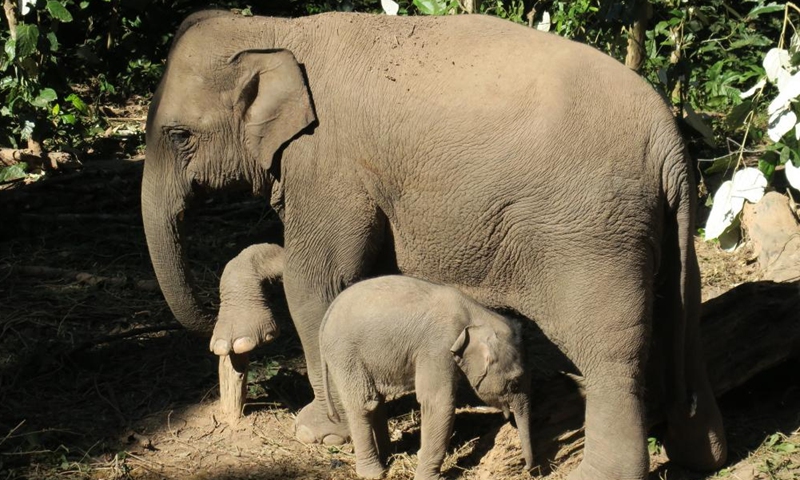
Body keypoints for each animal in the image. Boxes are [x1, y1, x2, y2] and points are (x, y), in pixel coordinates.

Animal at [319, 275, 533, 480]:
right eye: (514, 383)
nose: (528, 468)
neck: (477, 314)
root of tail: (328, 313)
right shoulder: (438, 347)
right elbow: (438, 403)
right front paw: (427, 476)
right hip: (346, 354)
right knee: (363, 403)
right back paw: (373, 473)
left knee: (376, 402)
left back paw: (388, 455)